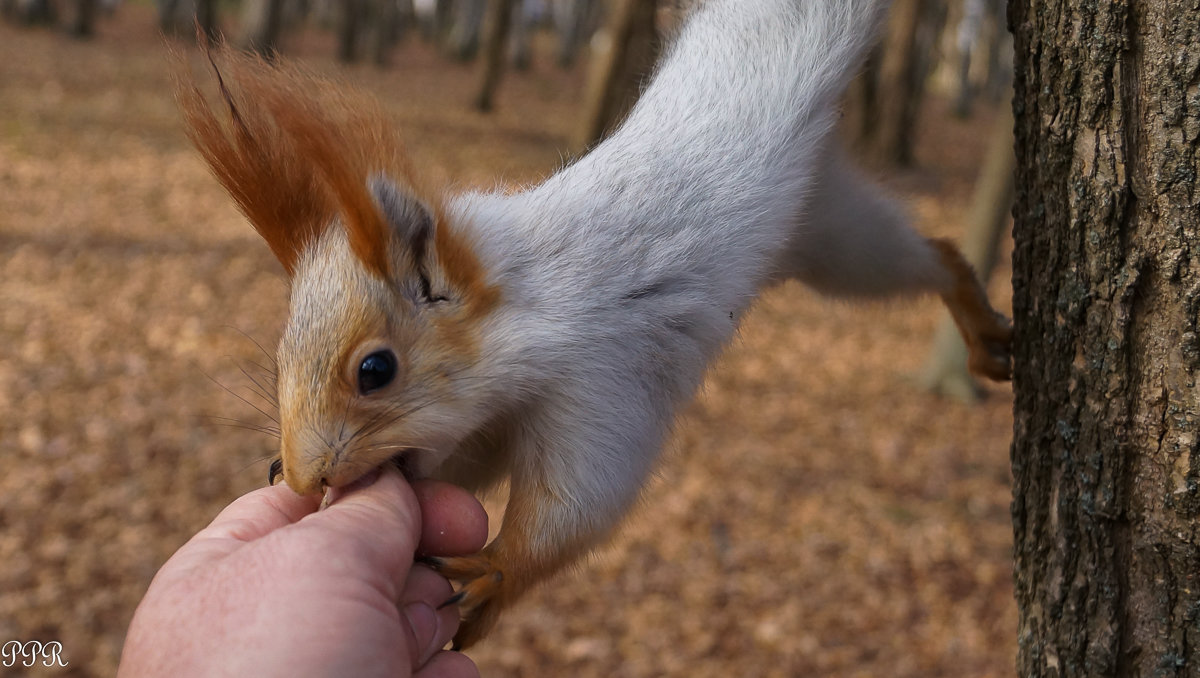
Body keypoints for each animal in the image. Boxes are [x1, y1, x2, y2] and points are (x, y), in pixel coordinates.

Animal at [177, 0, 1012, 648]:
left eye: (374, 371)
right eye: (278, 358)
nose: (307, 476)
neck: (525, 308)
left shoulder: (602, 380)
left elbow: (582, 502)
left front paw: (498, 571)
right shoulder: (486, 423)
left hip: (840, 237)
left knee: (929, 254)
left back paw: (979, 325)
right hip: (822, 225)